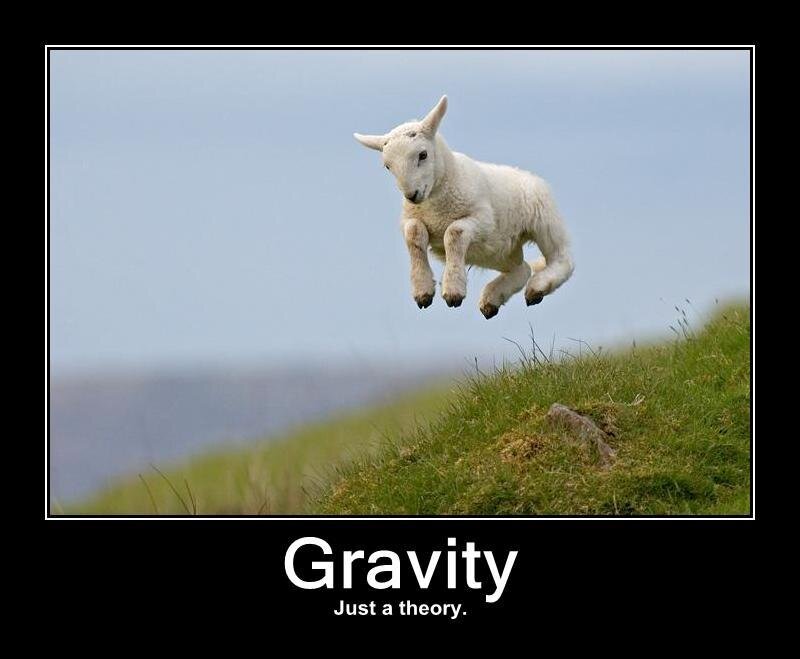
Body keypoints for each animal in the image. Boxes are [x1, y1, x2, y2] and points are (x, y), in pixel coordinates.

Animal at [354, 95, 574, 319]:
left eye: (423, 154)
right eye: (387, 166)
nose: (411, 195)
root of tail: (527, 175)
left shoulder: (483, 220)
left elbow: (454, 233)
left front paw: (453, 292)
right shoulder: (411, 218)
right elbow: (414, 234)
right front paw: (423, 292)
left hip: (542, 218)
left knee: (562, 259)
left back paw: (537, 288)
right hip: (496, 251)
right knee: (522, 269)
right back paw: (492, 300)